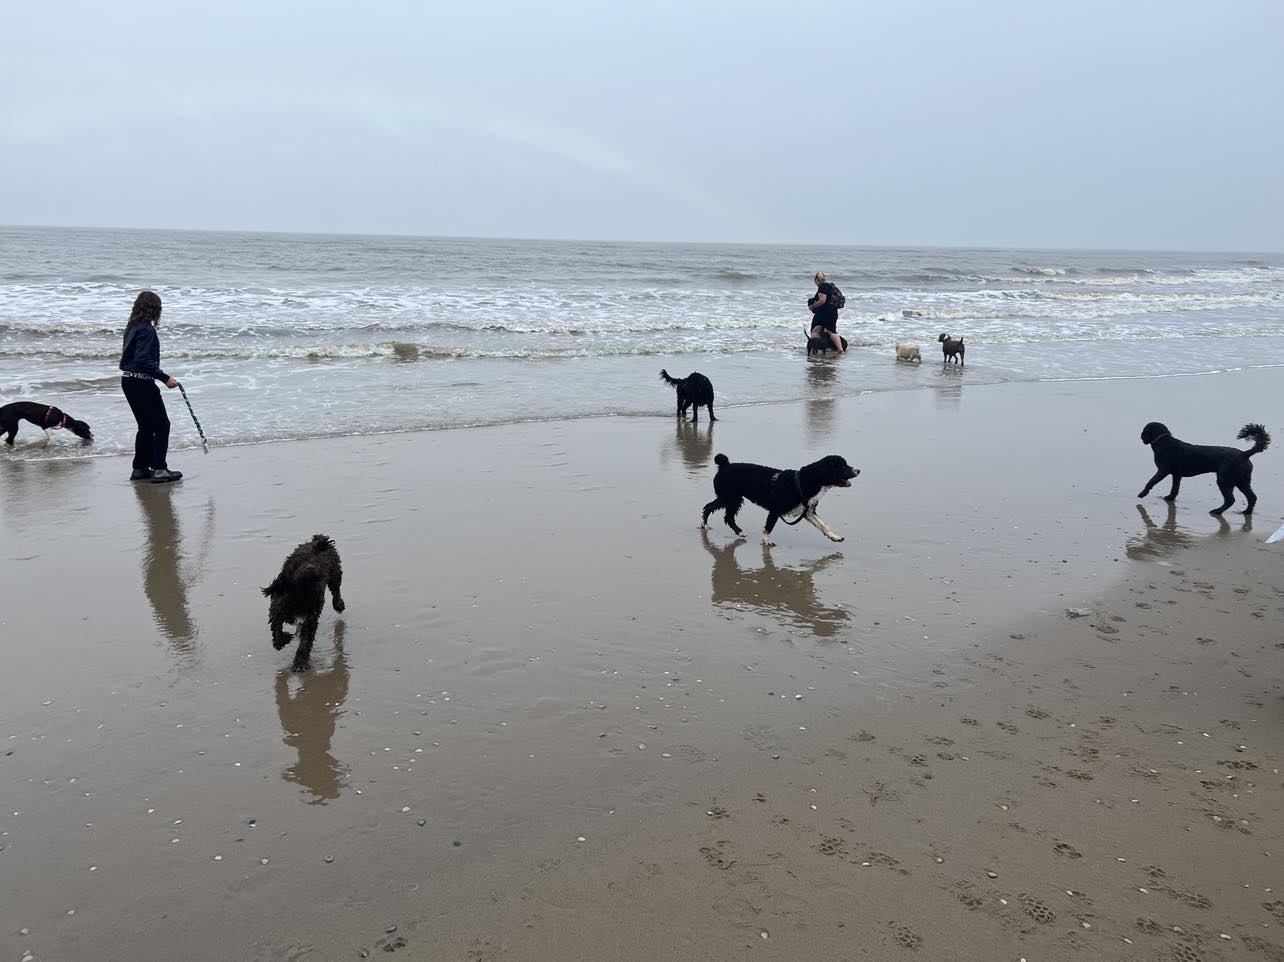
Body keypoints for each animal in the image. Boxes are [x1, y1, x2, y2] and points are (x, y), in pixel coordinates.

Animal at [261, 531, 346, 667]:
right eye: (299, 561)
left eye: (315, 561)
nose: (310, 567)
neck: (300, 593)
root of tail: (316, 541)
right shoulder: (277, 611)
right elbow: (276, 628)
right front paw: (283, 640)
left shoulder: (310, 618)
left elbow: (305, 641)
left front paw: (300, 663)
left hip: (334, 573)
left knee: (336, 590)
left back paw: (338, 605)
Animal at [698, 452, 857, 544]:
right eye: (843, 466)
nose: (858, 470)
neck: (805, 481)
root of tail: (724, 465)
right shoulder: (775, 510)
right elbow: (769, 527)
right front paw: (767, 542)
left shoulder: (808, 512)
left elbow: (823, 525)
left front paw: (835, 536)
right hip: (731, 498)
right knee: (725, 516)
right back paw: (731, 529)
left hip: (727, 497)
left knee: (710, 507)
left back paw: (709, 525)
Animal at [1140, 418, 1268, 513]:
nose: (1141, 437)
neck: (1164, 442)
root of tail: (1244, 454)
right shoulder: (1176, 475)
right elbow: (1174, 488)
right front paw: (1170, 498)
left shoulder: (1163, 471)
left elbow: (1151, 482)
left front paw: (1142, 494)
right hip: (1242, 481)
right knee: (1252, 497)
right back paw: (1246, 512)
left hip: (1225, 480)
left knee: (1230, 500)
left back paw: (1217, 511)